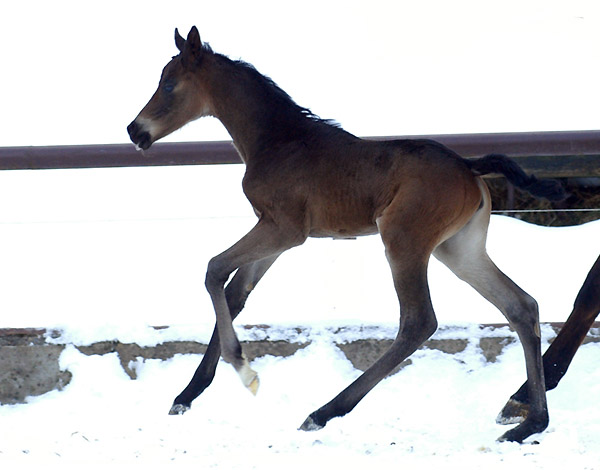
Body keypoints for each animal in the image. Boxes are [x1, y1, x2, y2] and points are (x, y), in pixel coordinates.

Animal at [127, 26, 568, 444]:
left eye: (169, 83)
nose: (134, 130)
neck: (278, 141)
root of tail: (469, 167)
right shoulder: (272, 234)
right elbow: (235, 295)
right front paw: (187, 395)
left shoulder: (285, 229)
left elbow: (213, 270)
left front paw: (243, 369)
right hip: (459, 250)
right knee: (520, 306)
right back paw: (530, 424)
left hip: (404, 242)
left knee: (419, 321)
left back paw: (322, 413)